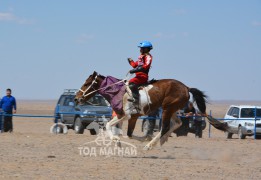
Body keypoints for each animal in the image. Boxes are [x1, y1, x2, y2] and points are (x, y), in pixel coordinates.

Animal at [73, 71, 205, 150]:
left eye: (86, 84)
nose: (76, 98)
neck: (118, 91)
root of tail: (186, 88)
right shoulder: (132, 117)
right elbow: (129, 134)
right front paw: (145, 137)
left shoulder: (125, 115)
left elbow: (108, 125)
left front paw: (116, 140)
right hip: (171, 109)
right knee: (177, 123)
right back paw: (161, 140)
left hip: (167, 109)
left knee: (166, 127)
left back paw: (149, 145)